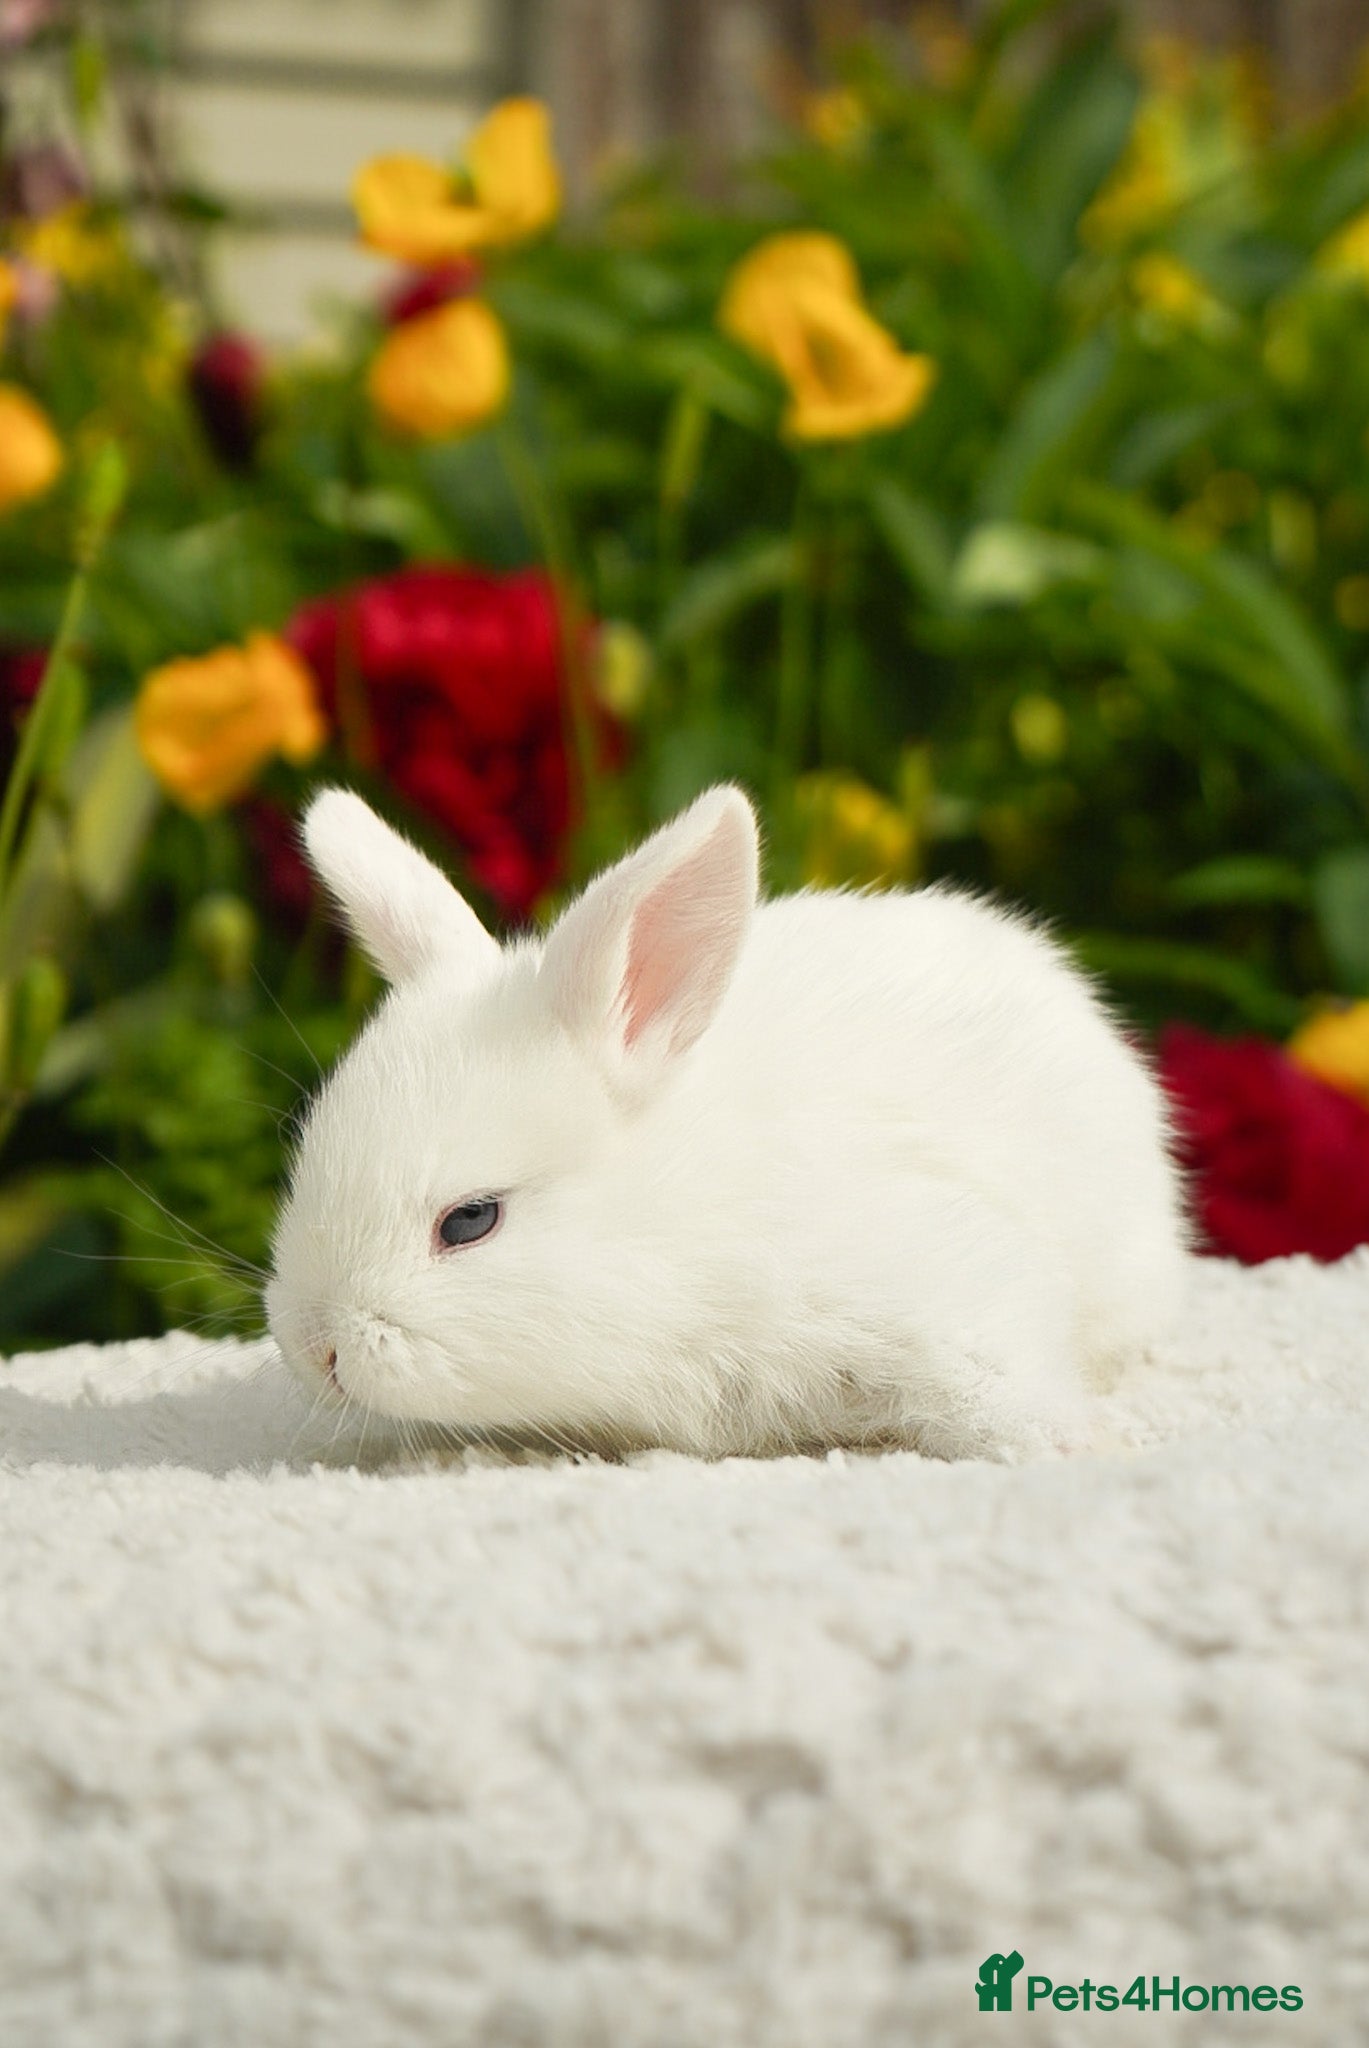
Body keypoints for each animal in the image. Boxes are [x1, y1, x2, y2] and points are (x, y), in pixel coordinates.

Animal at [266, 783, 1188, 1462]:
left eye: (470, 1220)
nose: (315, 1349)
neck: (681, 1224)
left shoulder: (947, 1286)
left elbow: (997, 1382)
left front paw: (1081, 1447)